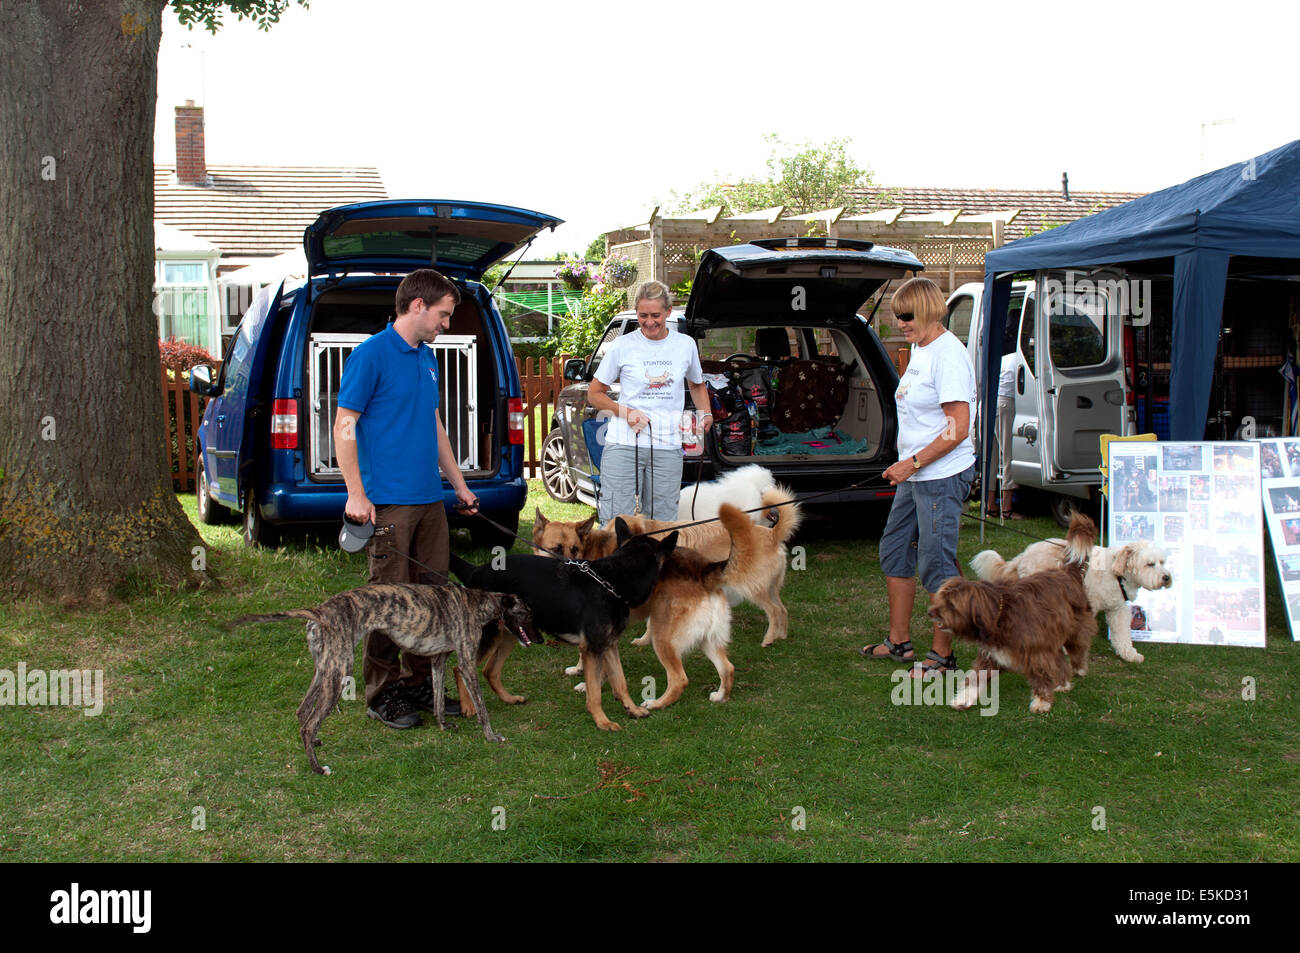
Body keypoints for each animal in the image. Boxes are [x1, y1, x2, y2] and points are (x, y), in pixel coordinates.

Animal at [235, 579, 538, 774]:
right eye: (526, 613)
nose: (540, 639)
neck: (478, 602)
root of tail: (320, 611)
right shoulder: (466, 664)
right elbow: (482, 708)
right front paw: (491, 735)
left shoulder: (438, 660)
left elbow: (439, 699)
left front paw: (442, 725)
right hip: (340, 671)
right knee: (310, 722)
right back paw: (317, 768)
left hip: (324, 668)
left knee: (302, 712)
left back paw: (314, 744)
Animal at [449, 520, 681, 728]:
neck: (612, 582)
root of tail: (475, 571)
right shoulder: (592, 650)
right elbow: (595, 692)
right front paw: (602, 721)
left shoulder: (608, 646)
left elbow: (620, 682)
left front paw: (632, 709)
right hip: (488, 634)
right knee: (460, 667)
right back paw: (468, 707)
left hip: (508, 634)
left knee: (490, 670)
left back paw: (509, 699)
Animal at [925, 512, 1097, 712]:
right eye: (941, 598)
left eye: (951, 604)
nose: (932, 613)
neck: (1000, 616)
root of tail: (1067, 573)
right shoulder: (991, 655)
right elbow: (975, 677)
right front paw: (964, 698)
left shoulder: (1037, 651)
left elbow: (1041, 674)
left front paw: (1041, 701)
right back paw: (1063, 683)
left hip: (1075, 628)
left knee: (1079, 649)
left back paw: (1078, 669)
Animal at [972, 535, 1175, 660]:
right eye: (1150, 564)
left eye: (1162, 562)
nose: (1166, 577)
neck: (1115, 570)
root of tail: (1025, 555)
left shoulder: (1117, 609)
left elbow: (1122, 634)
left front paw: (1129, 654)